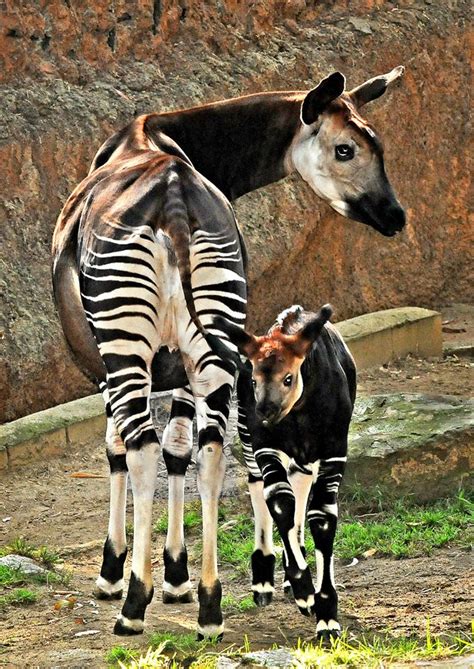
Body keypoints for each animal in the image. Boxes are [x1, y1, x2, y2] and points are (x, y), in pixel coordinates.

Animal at [215, 306, 356, 640]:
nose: (264, 413)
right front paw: (306, 591)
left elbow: (321, 518)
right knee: (260, 487)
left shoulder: (334, 453)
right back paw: (264, 579)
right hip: (249, 439)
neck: (301, 412)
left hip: (304, 458)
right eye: (254, 380)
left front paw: (326, 616)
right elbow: (280, 502)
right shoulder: (266, 448)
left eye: (288, 378)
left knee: (299, 491)